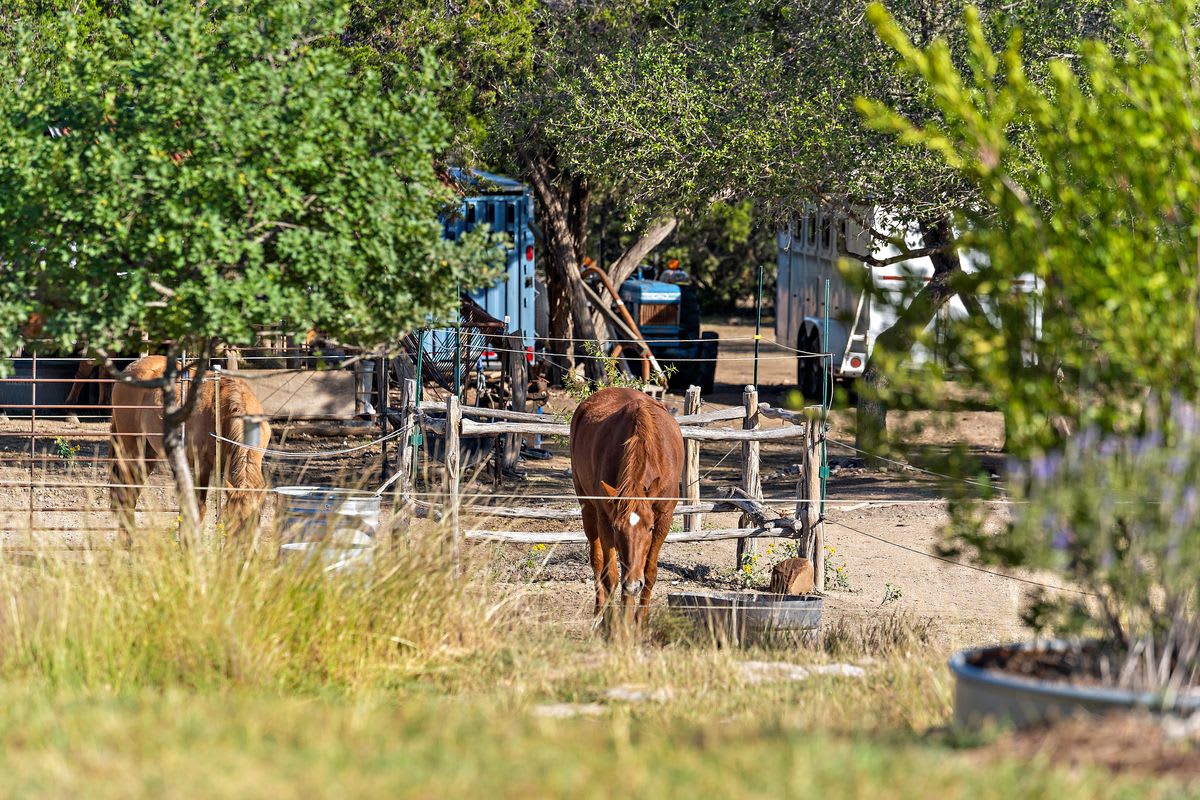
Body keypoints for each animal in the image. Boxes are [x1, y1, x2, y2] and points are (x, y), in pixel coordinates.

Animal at [111, 359, 272, 542]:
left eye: (255, 523)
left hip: (148, 454)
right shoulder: (201, 466)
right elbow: (198, 509)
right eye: (227, 519)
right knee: (126, 494)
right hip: (131, 448)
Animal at [571, 386, 686, 623]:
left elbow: (649, 573)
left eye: (650, 528)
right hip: (587, 508)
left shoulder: (664, 517)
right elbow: (610, 577)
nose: (634, 585)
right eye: (617, 528)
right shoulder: (606, 519)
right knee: (598, 562)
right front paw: (614, 624)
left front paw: (638, 621)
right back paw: (600, 612)